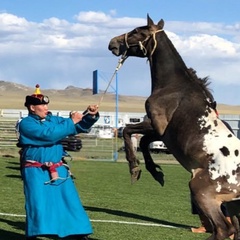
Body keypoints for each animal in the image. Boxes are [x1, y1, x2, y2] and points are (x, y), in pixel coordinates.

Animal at [109, 15, 240, 240]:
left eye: (137, 31)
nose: (113, 43)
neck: (174, 86)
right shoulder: (159, 132)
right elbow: (143, 141)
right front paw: (155, 172)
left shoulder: (157, 127)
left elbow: (129, 131)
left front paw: (136, 169)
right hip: (232, 206)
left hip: (202, 191)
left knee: (224, 229)